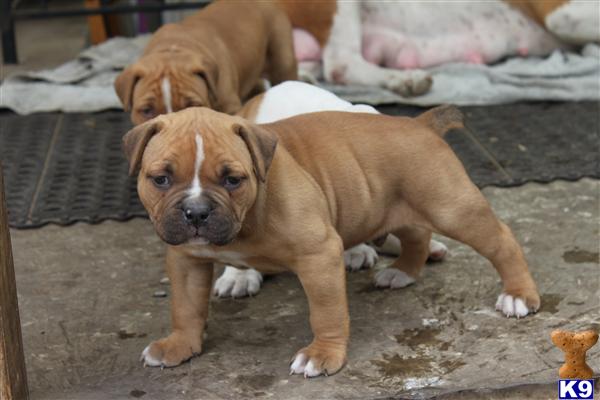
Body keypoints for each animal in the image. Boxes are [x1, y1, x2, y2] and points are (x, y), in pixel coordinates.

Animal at [124, 106, 540, 376]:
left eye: (232, 179)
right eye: (160, 179)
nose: (195, 212)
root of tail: (419, 124)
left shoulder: (318, 254)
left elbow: (325, 311)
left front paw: (323, 355)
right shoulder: (186, 260)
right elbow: (186, 307)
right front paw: (179, 344)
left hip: (451, 207)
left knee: (501, 240)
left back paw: (519, 295)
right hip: (394, 205)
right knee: (417, 233)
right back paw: (403, 272)